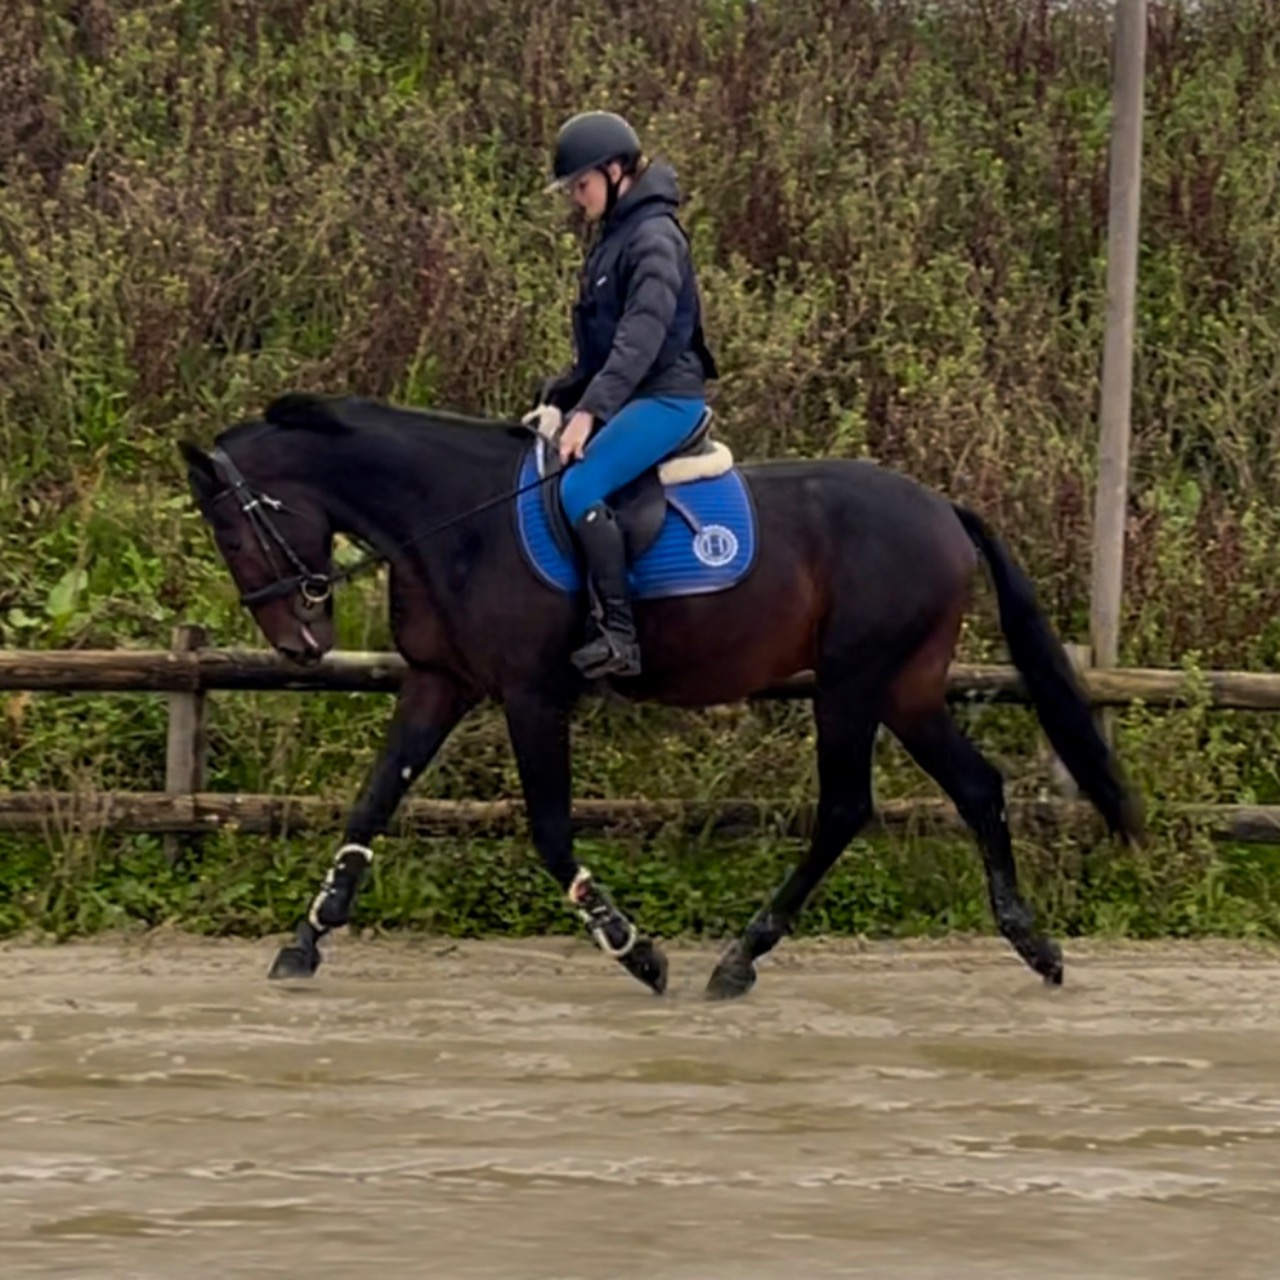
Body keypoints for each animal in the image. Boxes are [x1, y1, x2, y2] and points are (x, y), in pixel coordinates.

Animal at [177, 394, 1141, 993]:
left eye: (237, 531)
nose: (299, 643)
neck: (456, 521)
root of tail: (942, 508)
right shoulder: (439, 685)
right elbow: (372, 805)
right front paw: (304, 942)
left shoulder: (531, 694)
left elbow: (551, 831)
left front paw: (635, 950)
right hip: (905, 689)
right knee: (976, 786)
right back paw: (1033, 945)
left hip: (852, 683)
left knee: (844, 807)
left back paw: (739, 957)